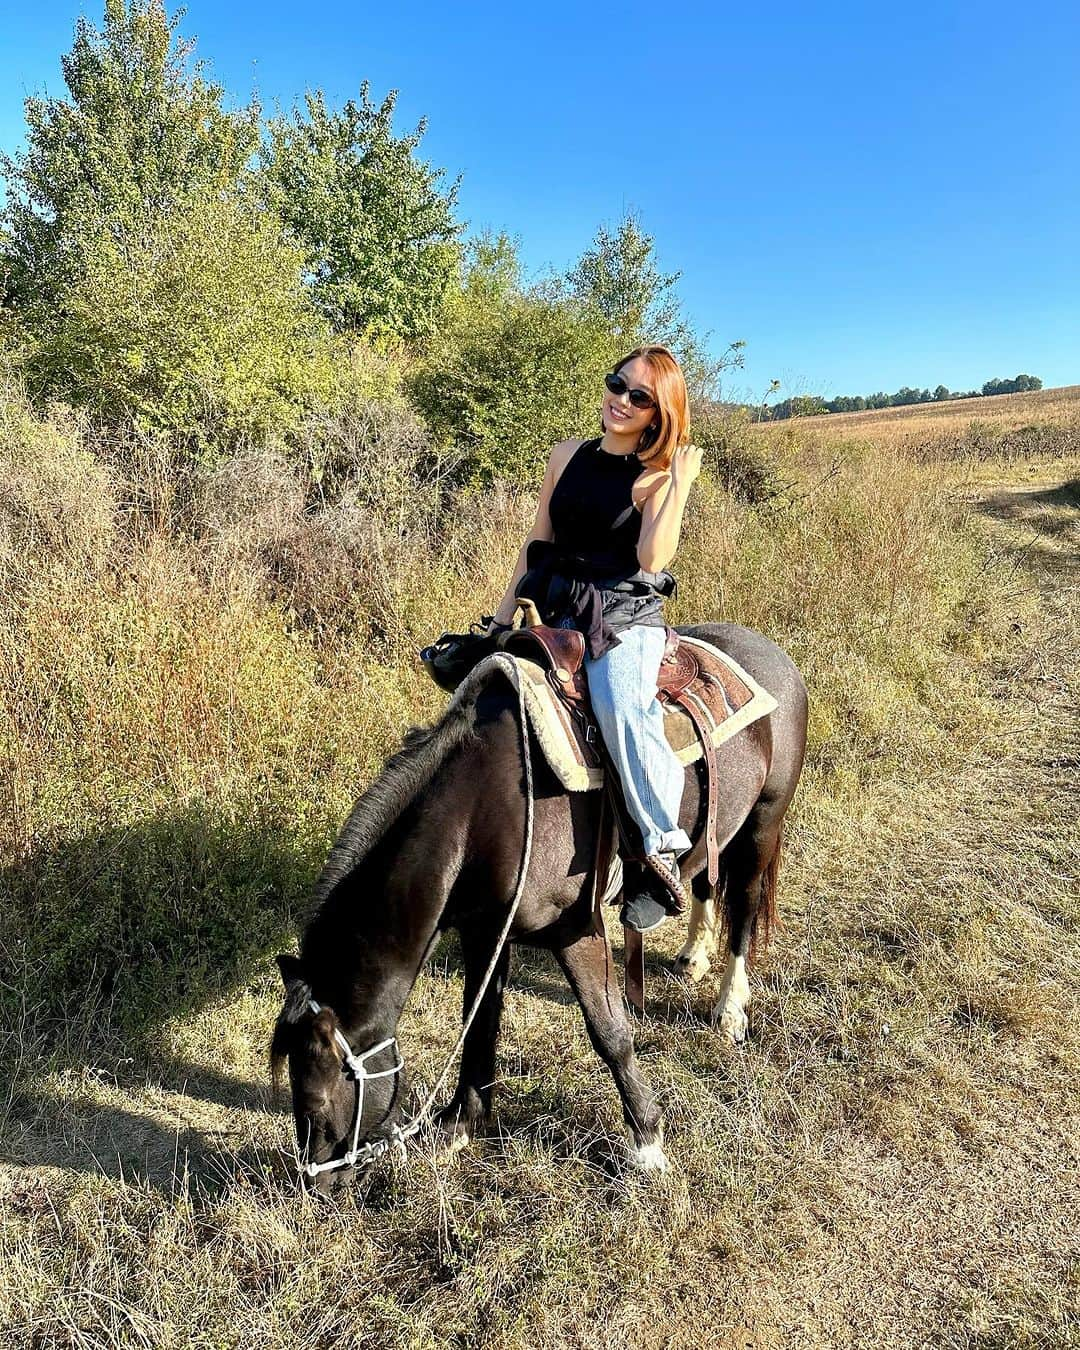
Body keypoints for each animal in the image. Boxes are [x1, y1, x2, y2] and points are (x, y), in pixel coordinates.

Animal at [274, 621, 804, 1193]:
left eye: (317, 1101)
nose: (315, 1184)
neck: (483, 810)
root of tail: (776, 655)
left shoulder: (576, 930)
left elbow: (609, 1032)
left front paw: (647, 1142)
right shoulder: (486, 931)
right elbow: (479, 1023)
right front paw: (459, 1126)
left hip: (763, 823)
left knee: (743, 909)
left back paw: (730, 1009)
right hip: (719, 828)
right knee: (706, 878)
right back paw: (692, 956)